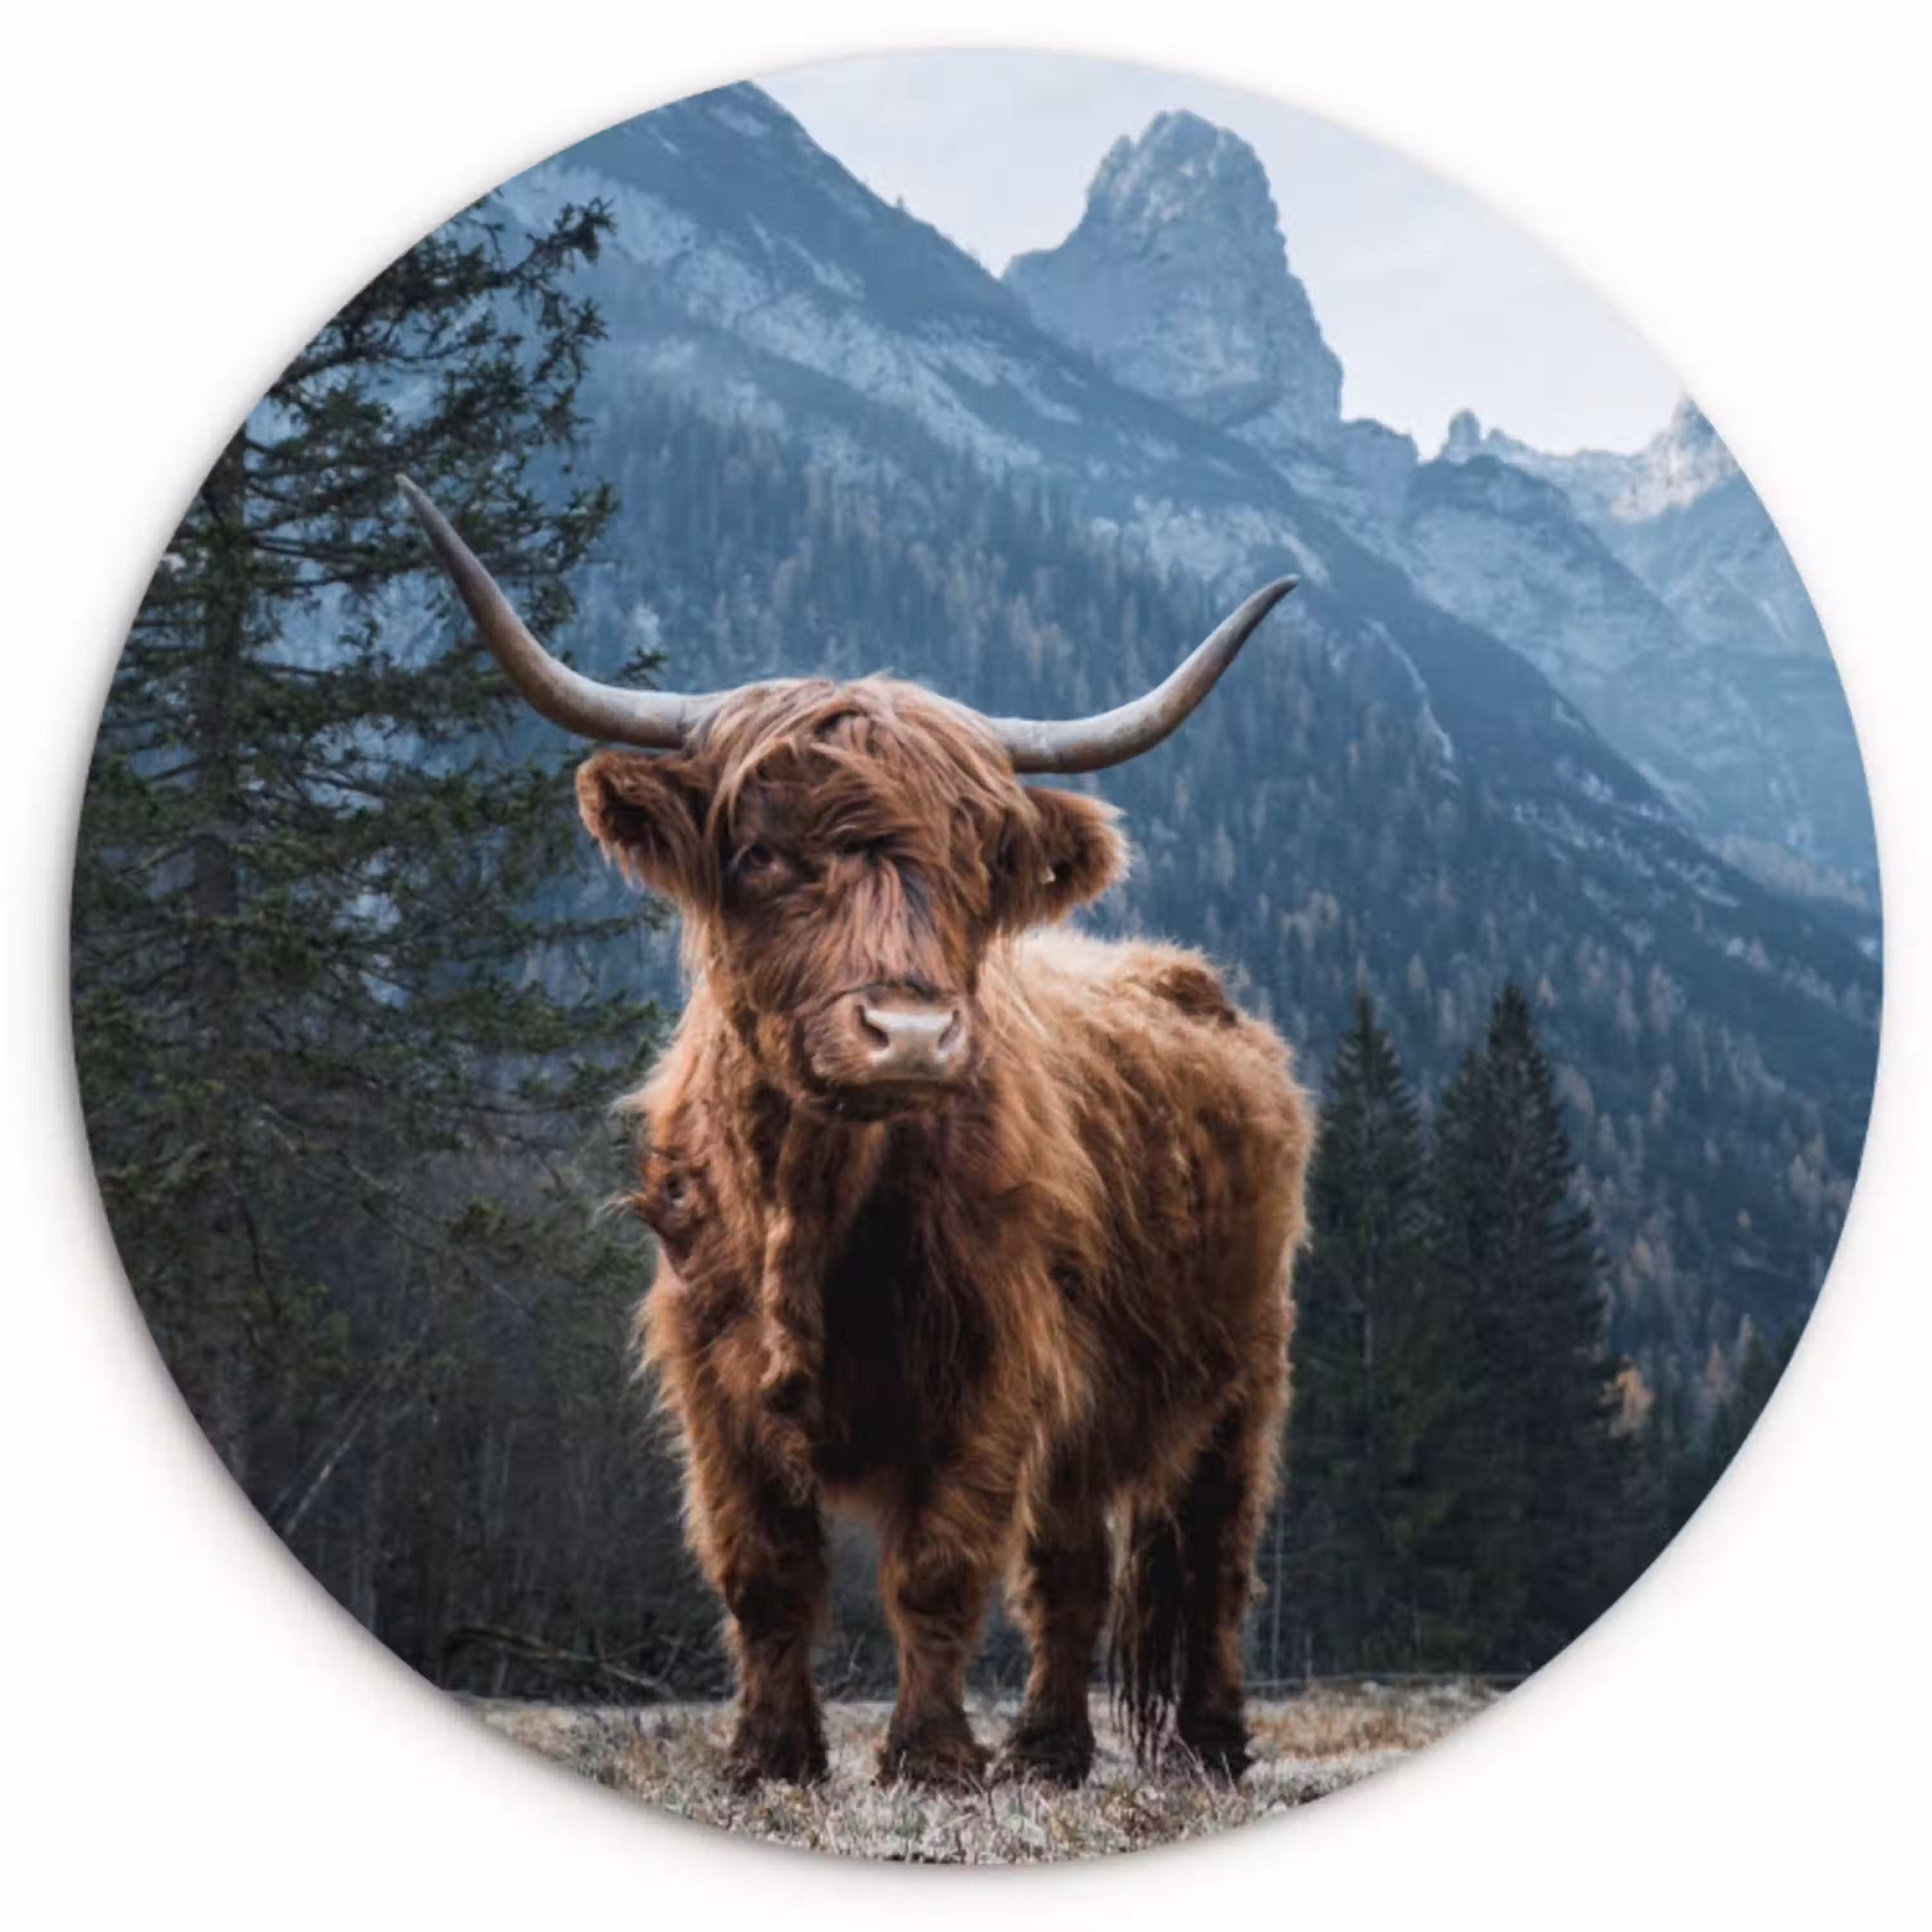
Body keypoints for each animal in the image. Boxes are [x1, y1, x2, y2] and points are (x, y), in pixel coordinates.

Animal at [400, 477, 1315, 1791]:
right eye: (762, 854)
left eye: (976, 865)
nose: (914, 1034)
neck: (813, 1203)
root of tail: (1191, 982)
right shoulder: (711, 1378)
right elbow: (764, 1572)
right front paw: (770, 1756)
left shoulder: (994, 1366)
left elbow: (938, 1569)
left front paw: (928, 1758)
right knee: (1074, 1569)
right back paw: (1048, 1750)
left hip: (1246, 1369)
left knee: (1217, 1557)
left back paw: (1210, 1744)